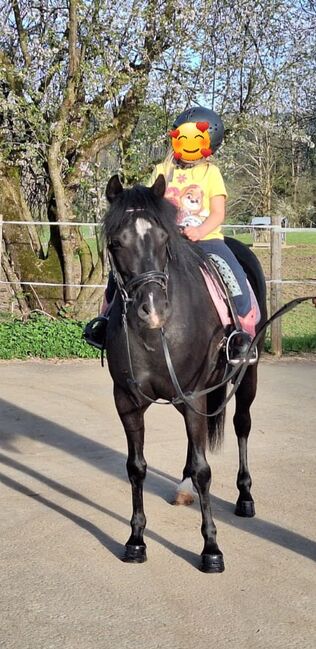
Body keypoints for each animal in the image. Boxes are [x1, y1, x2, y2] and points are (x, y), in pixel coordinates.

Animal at [103, 173, 266, 572]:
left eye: (165, 239)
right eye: (116, 243)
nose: (152, 310)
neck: (157, 335)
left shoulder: (192, 396)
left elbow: (205, 469)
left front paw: (211, 549)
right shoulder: (127, 401)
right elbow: (136, 467)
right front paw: (135, 540)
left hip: (247, 378)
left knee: (241, 426)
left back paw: (245, 497)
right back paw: (184, 488)